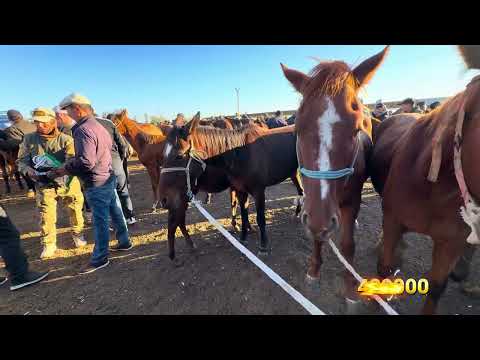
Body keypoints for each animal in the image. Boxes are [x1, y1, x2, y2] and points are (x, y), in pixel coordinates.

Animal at [159, 112, 306, 262]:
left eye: (179, 156)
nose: (163, 199)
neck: (239, 153)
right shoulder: (241, 190)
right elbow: (243, 213)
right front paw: (243, 238)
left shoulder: (258, 191)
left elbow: (259, 218)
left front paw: (262, 246)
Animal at [280, 46, 388, 308]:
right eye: (297, 127)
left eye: (357, 129)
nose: (322, 220)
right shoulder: (313, 207)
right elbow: (316, 236)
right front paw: (314, 270)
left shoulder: (351, 200)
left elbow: (347, 244)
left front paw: (349, 288)